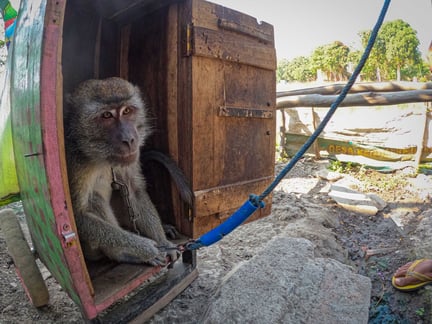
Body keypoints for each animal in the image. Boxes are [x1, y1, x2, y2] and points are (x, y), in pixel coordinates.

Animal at [64, 76, 184, 266]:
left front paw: (163, 243)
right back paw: (122, 254)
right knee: (94, 199)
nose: (129, 139)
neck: (102, 156)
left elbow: (134, 190)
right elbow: (78, 215)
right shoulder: (76, 162)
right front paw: (148, 249)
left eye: (127, 111)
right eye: (106, 115)